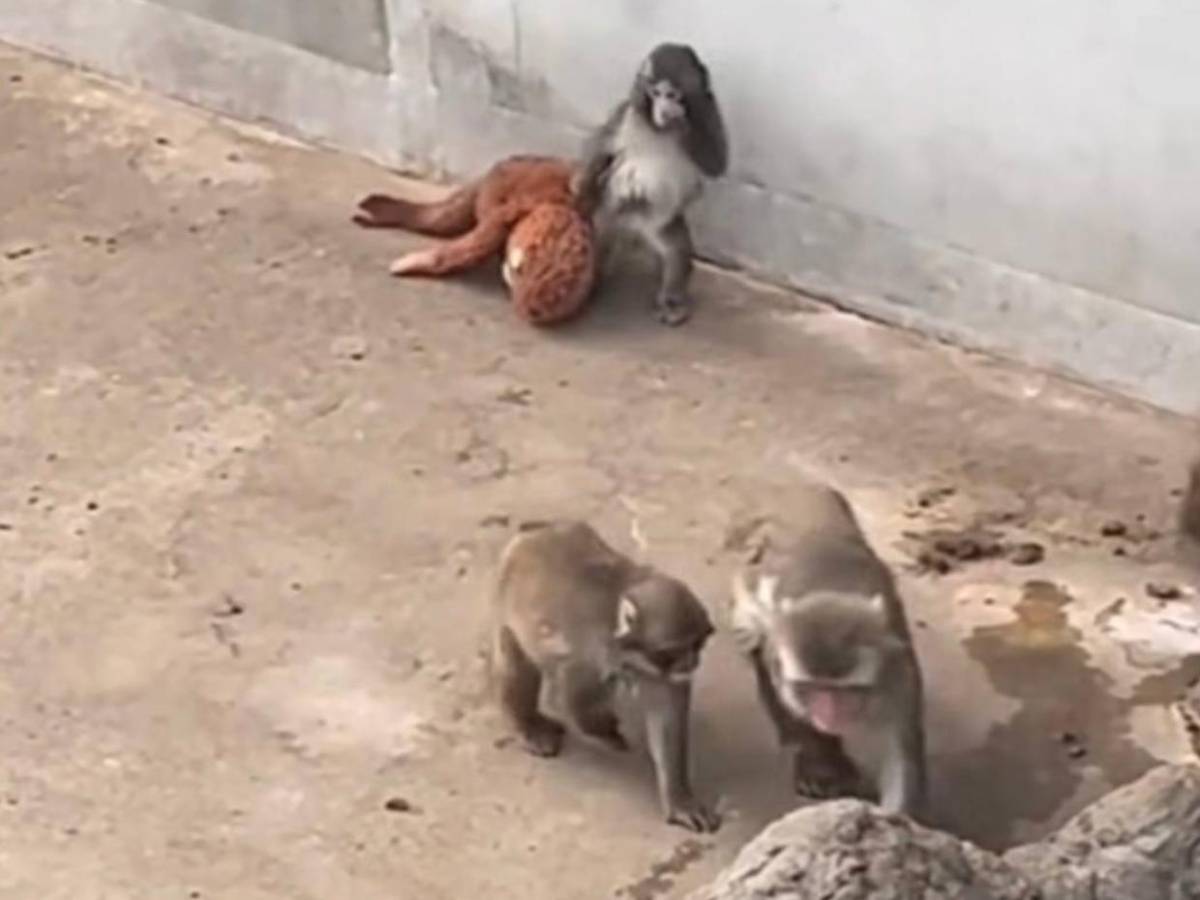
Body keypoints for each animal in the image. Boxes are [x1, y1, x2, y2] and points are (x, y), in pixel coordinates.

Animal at [490, 519, 720, 833]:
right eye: (671, 651)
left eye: (698, 643)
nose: (691, 662)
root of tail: (538, 531)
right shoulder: (589, 651)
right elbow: (575, 700)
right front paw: (606, 732)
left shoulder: (656, 672)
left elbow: (667, 715)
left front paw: (679, 798)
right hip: (507, 607)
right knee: (518, 665)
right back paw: (527, 722)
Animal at [572, 42, 729, 326]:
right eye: (655, 93)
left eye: (672, 94)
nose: (664, 109)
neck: (659, 128)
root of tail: (635, 228)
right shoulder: (628, 111)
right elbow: (605, 144)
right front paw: (581, 185)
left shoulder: (708, 111)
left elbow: (717, 162)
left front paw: (681, 120)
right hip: (613, 212)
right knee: (602, 235)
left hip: (660, 224)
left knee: (677, 252)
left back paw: (672, 301)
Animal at [728, 484, 927, 819]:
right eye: (812, 688)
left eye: (844, 691)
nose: (828, 716)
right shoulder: (780, 656)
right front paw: (819, 762)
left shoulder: (898, 673)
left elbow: (899, 752)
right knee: (753, 635)